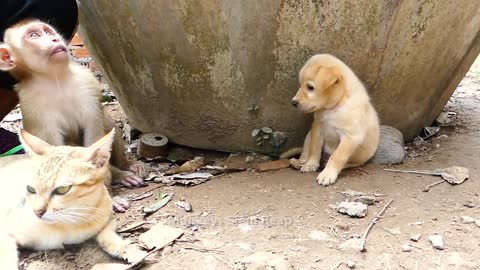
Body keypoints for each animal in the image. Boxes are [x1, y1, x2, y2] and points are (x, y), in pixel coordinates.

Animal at [0, 20, 146, 212]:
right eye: (34, 35)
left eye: (48, 32)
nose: (54, 39)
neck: (55, 79)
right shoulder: (33, 106)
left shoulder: (87, 84)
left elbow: (95, 135)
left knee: (108, 125)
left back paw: (123, 169)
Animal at [288, 54, 378, 187]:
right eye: (301, 85)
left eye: (310, 87)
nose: (293, 103)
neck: (334, 106)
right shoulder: (317, 128)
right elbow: (314, 149)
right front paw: (311, 164)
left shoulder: (351, 137)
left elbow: (337, 157)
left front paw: (327, 174)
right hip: (308, 136)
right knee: (306, 150)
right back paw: (299, 162)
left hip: (360, 156)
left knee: (352, 162)